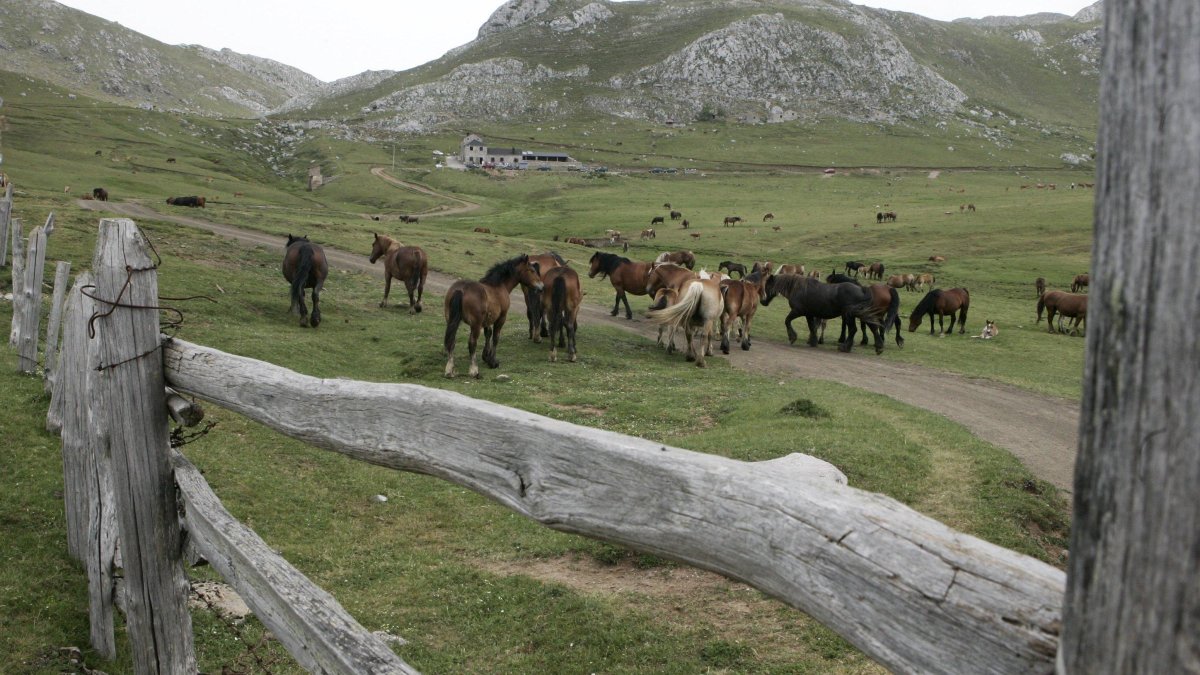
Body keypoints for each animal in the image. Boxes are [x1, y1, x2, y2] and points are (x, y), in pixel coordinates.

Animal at [760, 274, 898, 354]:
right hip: (859, 314)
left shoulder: (798, 311)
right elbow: (812, 327)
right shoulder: (809, 314)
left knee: (854, 329)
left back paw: (845, 347)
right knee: (872, 328)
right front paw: (813, 341)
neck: (796, 288)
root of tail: (864, 289)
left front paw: (792, 337)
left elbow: (787, 321)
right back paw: (878, 347)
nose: (762, 301)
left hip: (849, 315)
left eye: (767, 285)